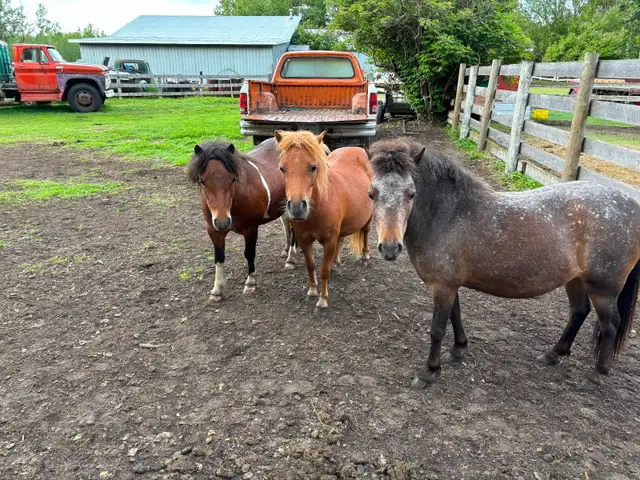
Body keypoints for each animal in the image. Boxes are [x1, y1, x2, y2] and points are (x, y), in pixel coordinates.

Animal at [187, 138, 297, 301]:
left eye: (233, 178)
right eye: (202, 181)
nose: (222, 222)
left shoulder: (251, 229)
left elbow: (249, 254)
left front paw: (250, 283)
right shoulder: (213, 231)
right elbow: (219, 257)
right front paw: (217, 290)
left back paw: (290, 258)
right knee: (286, 223)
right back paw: (287, 250)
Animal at [275, 130, 373, 309]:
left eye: (313, 167)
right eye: (282, 168)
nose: (297, 208)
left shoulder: (329, 242)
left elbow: (324, 270)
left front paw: (322, 299)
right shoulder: (303, 240)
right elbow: (311, 265)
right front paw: (312, 290)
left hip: (368, 217)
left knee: (366, 231)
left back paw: (365, 256)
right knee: (342, 239)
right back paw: (336, 262)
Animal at [368, 138, 640, 391]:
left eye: (411, 193)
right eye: (372, 193)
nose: (390, 247)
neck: (448, 214)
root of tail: (631, 206)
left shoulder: (442, 287)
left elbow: (437, 329)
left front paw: (429, 371)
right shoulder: (450, 285)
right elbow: (456, 315)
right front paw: (458, 349)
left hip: (603, 288)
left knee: (610, 325)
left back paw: (596, 375)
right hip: (575, 279)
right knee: (579, 312)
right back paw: (553, 354)